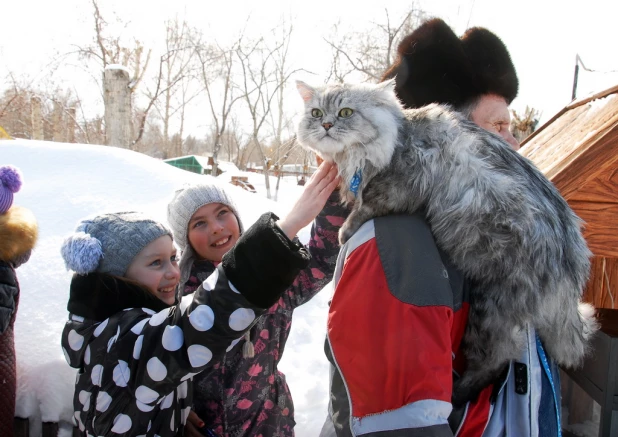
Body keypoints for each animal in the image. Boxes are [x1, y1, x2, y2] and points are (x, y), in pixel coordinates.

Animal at [296, 80, 596, 404]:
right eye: (316, 113)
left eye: (346, 112)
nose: (326, 125)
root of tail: (573, 267)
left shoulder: (403, 183)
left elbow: (365, 208)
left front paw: (345, 231)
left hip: (492, 308)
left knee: (493, 363)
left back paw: (457, 394)